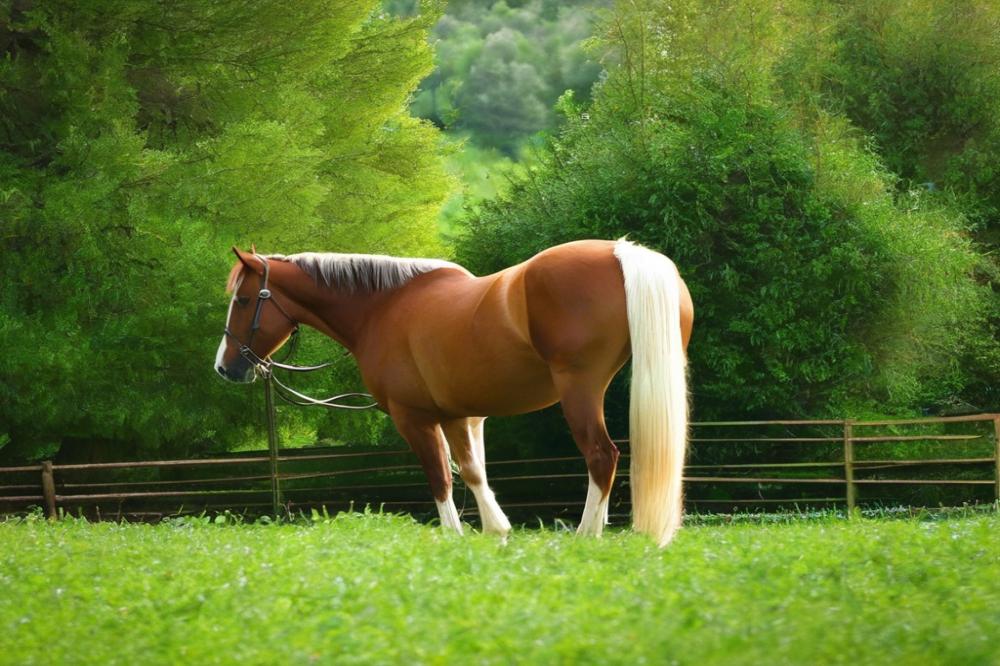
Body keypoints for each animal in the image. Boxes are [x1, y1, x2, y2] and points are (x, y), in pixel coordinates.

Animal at [215, 239, 692, 544]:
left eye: (243, 300)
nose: (225, 367)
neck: (382, 308)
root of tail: (620, 253)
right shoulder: (460, 415)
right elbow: (474, 471)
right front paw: (496, 531)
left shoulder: (415, 418)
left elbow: (440, 476)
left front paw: (454, 535)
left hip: (580, 389)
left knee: (600, 455)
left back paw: (586, 534)